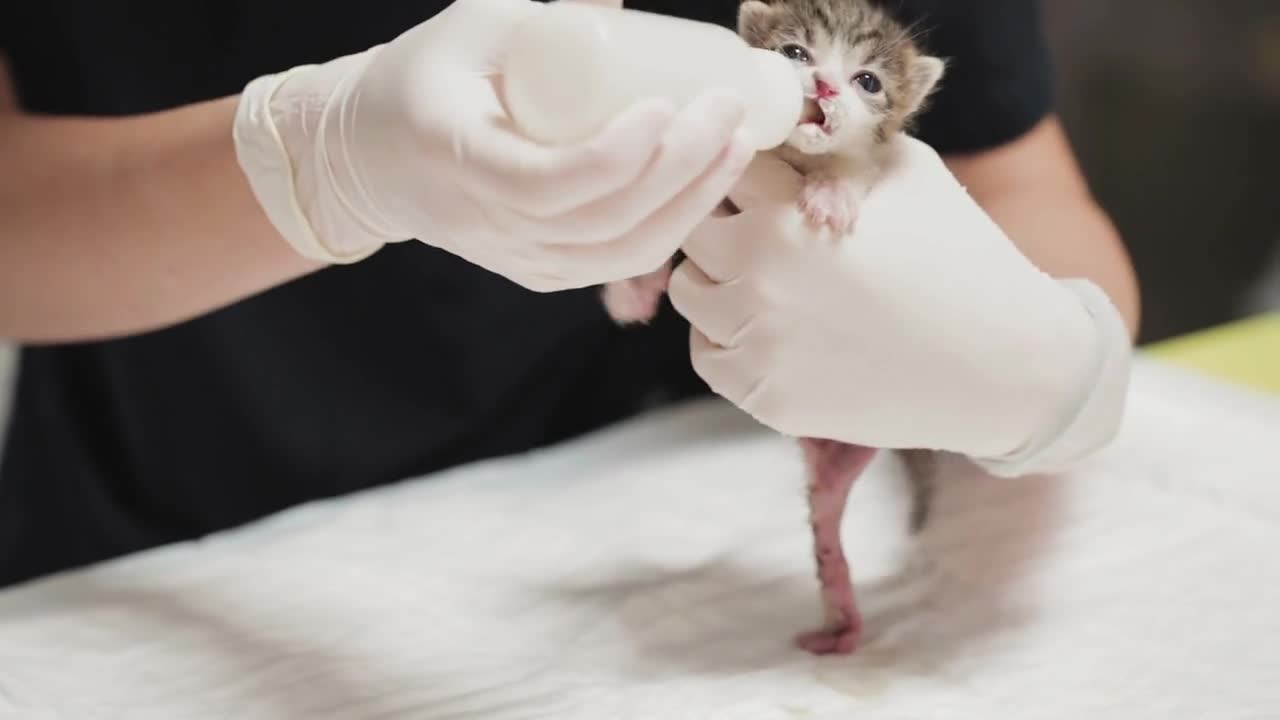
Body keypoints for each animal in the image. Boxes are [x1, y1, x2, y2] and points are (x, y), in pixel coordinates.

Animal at [596, 0, 942, 653]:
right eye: (795, 53)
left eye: (867, 81)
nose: (826, 85)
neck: (794, 160)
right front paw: (631, 289)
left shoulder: (871, 162)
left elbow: (856, 171)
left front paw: (831, 195)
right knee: (827, 517)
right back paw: (840, 622)